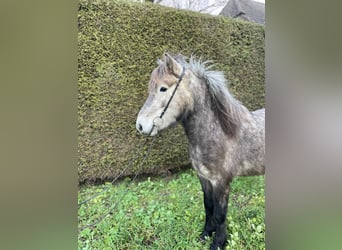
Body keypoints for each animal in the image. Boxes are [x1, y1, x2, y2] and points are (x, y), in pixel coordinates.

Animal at [136, 53, 264, 250]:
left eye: (163, 88)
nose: (141, 125)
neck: (219, 133)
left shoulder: (221, 182)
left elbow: (220, 213)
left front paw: (218, 243)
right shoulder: (204, 178)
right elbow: (208, 206)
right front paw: (205, 234)